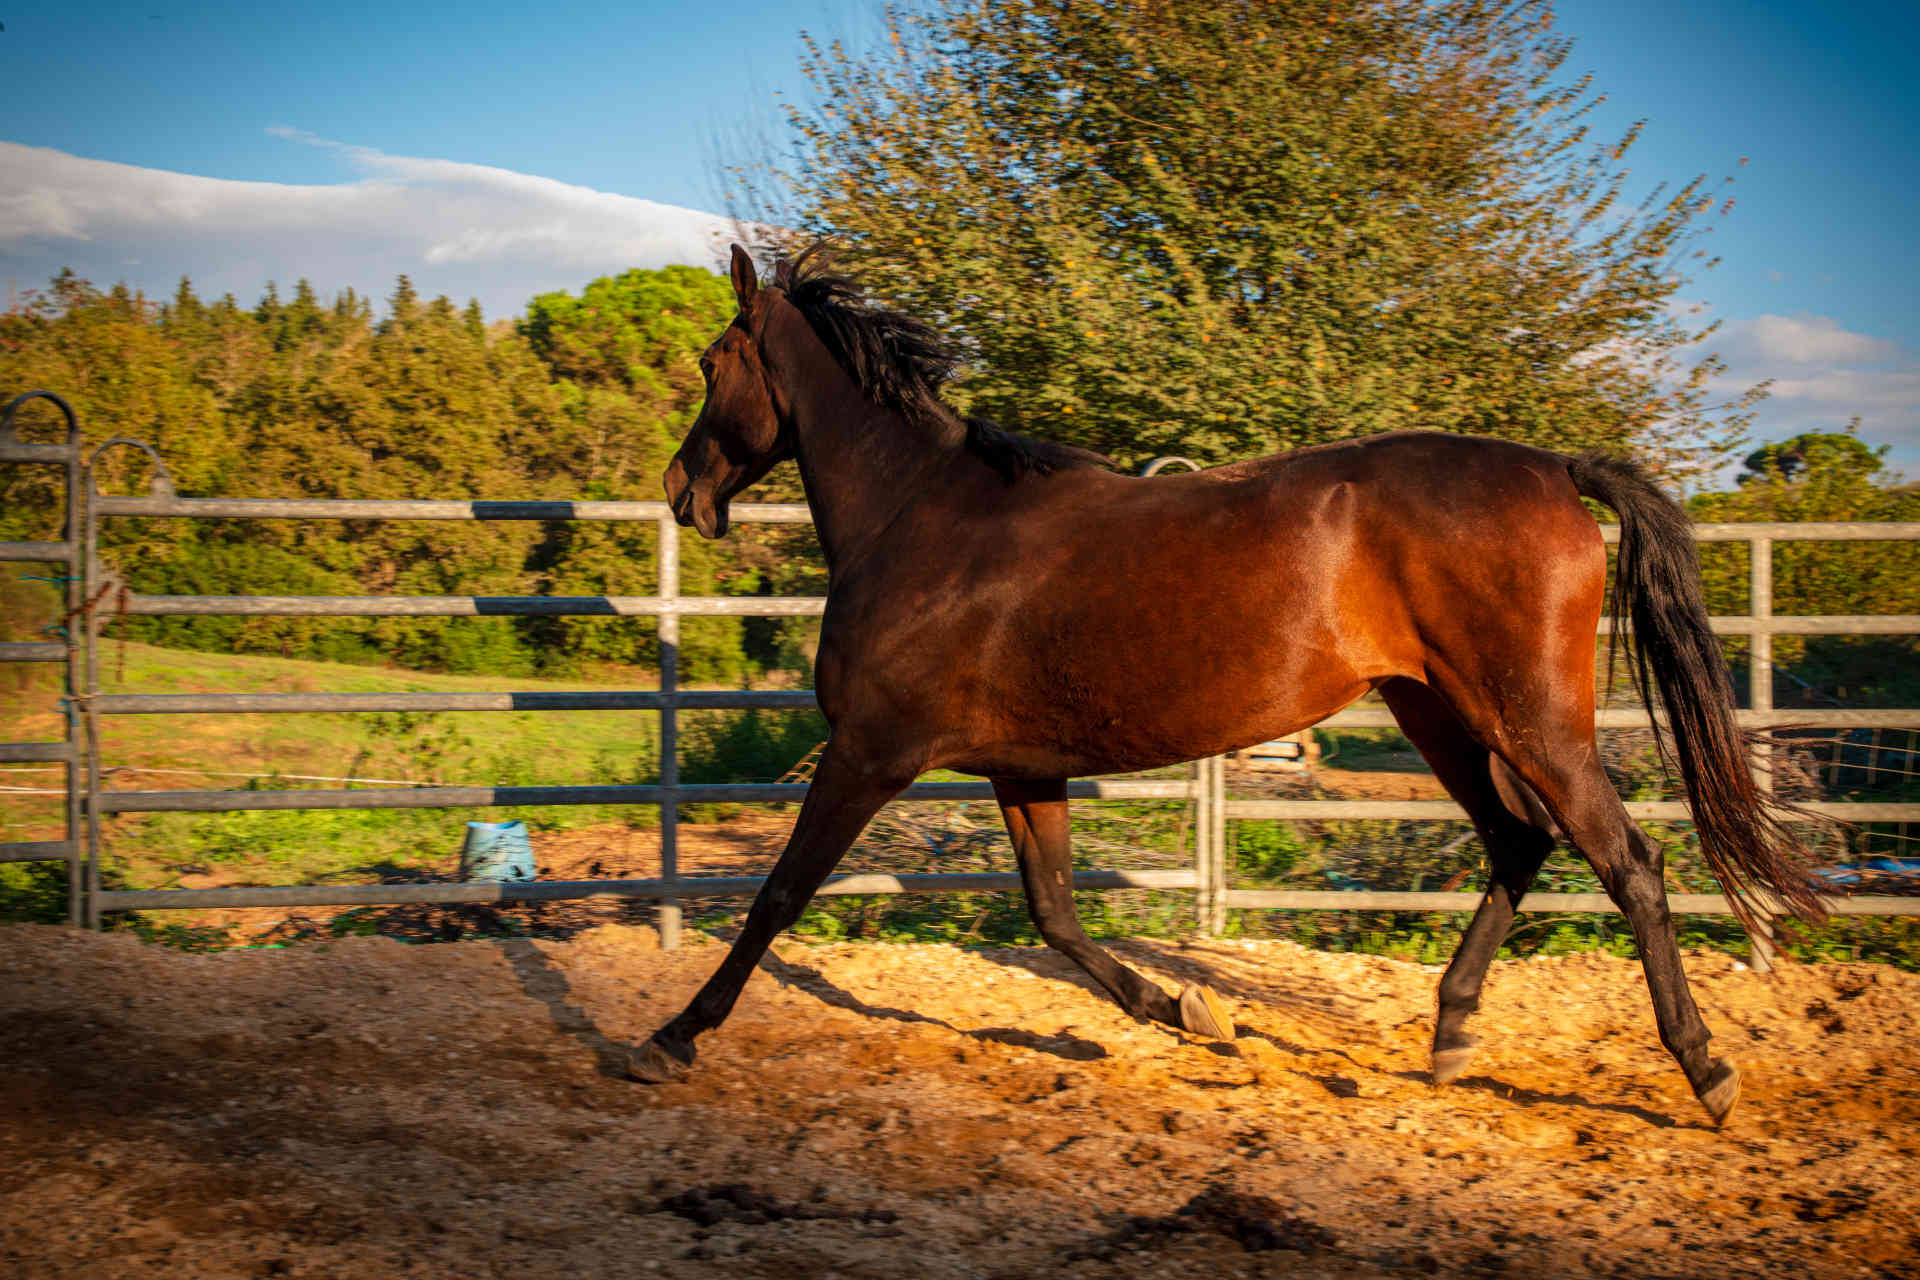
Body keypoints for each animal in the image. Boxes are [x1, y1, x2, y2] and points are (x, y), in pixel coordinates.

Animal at [631, 243, 1825, 1127]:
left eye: (711, 361)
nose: (682, 489)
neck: (922, 516)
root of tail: (1555, 469)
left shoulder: (870, 752)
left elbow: (779, 894)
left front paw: (671, 1035)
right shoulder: (1023, 769)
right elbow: (1055, 914)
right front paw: (1190, 1011)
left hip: (1531, 718)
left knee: (1627, 862)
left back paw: (1706, 1071)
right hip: (1437, 711)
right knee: (1518, 842)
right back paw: (1450, 1035)